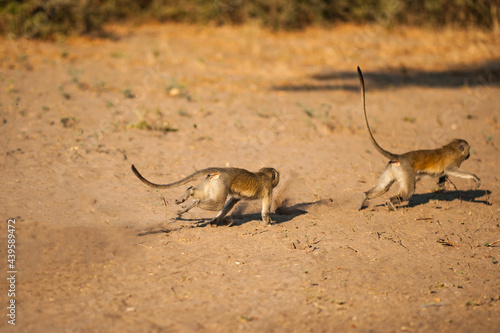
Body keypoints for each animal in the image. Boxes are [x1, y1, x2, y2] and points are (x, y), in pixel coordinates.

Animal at [133, 164, 280, 226]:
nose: (278, 177)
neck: (263, 175)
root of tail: (222, 170)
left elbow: (229, 205)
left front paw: (215, 221)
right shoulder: (268, 189)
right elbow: (265, 212)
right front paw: (269, 223)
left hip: (212, 183)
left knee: (194, 190)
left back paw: (187, 195)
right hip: (220, 183)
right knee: (215, 204)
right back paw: (193, 203)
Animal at [358, 66, 478, 209]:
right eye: (468, 150)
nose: (469, 155)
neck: (452, 147)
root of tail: (400, 157)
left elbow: (445, 172)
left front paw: (442, 181)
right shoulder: (455, 160)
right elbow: (450, 170)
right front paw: (474, 178)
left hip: (392, 168)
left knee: (383, 187)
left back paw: (365, 197)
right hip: (406, 171)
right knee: (407, 192)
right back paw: (391, 204)